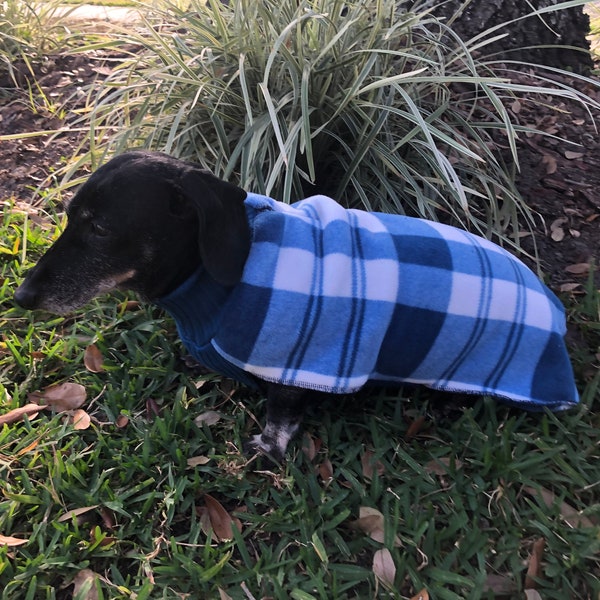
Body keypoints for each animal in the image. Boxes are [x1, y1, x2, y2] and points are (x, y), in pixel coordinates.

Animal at [14, 149, 576, 460]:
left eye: (100, 228)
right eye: (69, 215)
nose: (21, 297)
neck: (214, 280)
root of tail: (557, 317)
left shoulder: (300, 364)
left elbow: (281, 416)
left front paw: (268, 448)